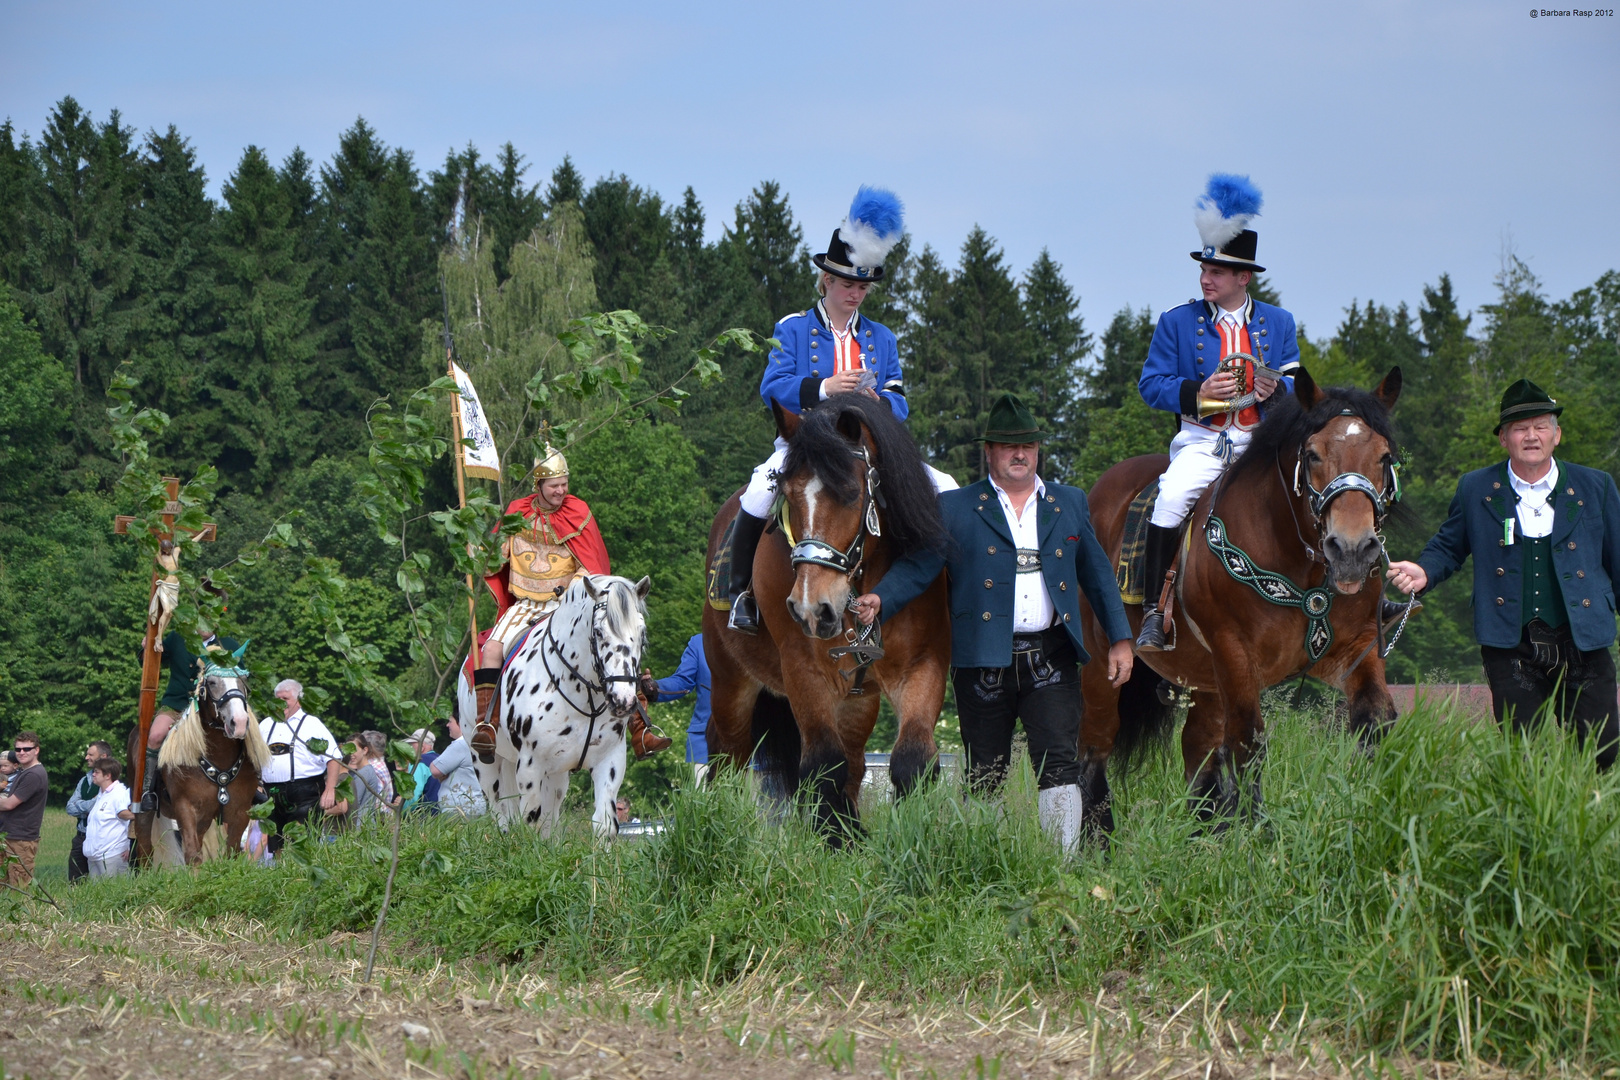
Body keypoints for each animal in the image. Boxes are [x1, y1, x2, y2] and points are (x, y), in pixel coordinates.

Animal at [129, 654, 272, 867]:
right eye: (211, 682)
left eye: (243, 680)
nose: (239, 723)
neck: (219, 757)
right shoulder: (185, 807)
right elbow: (192, 854)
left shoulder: (239, 811)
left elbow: (231, 852)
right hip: (143, 811)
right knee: (145, 851)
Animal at [460, 573, 648, 835]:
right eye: (599, 632)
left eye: (642, 633)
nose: (623, 700)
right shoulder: (530, 766)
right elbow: (529, 821)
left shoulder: (610, 759)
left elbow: (604, 824)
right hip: (485, 761)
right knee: (501, 812)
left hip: (555, 774)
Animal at [699, 393, 946, 841]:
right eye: (787, 496)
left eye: (851, 493)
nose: (812, 608)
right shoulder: (803, 670)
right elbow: (823, 765)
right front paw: (835, 841)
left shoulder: (923, 665)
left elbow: (912, 759)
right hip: (731, 680)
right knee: (727, 755)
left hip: (856, 699)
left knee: (856, 762)